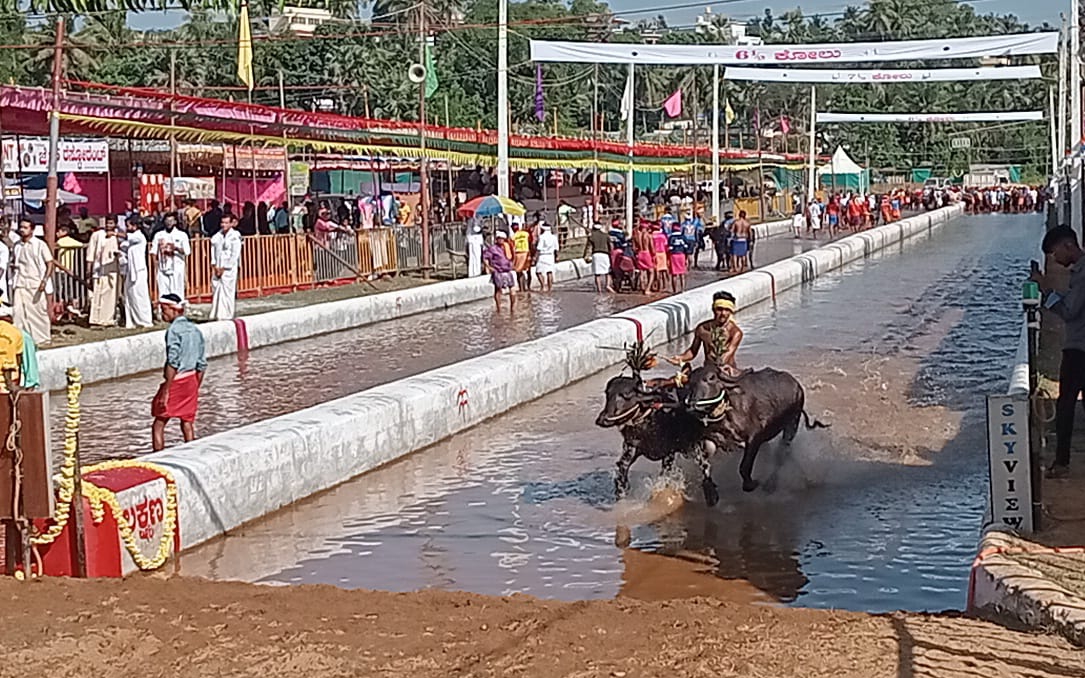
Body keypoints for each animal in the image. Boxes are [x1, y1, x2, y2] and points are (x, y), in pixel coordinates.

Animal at [683, 365, 829, 495]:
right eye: (689, 381)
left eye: (711, 378)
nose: (691, 405)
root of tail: (797, 386)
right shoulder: (712, 441)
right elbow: (704, 464)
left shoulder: (754, 439)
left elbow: (744, 467)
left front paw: (752, 484)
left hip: (791, 425)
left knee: (781, 454)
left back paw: (771, 484)